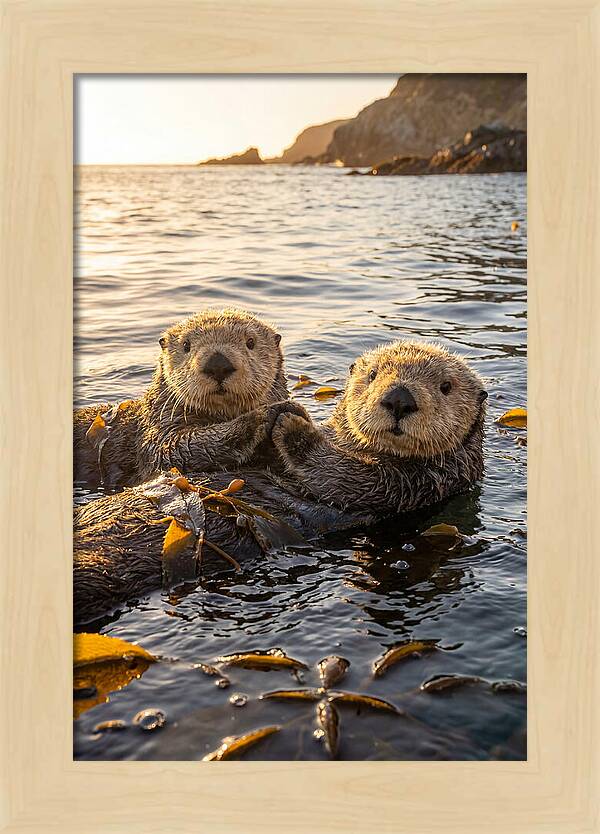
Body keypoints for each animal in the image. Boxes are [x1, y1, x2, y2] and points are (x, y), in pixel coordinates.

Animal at [74, 309, 300, 489]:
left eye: (250, 342)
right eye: (186, 345)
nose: (218, 364)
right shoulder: (158, 430)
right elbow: (174, 449)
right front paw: (266, 415)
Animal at [74, 341, 487, 623]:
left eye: (446, 387)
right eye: (372, 376)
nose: (399, 398)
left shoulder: (412, 484)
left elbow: (341, 474)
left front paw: (291, 423)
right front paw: (273, 414)